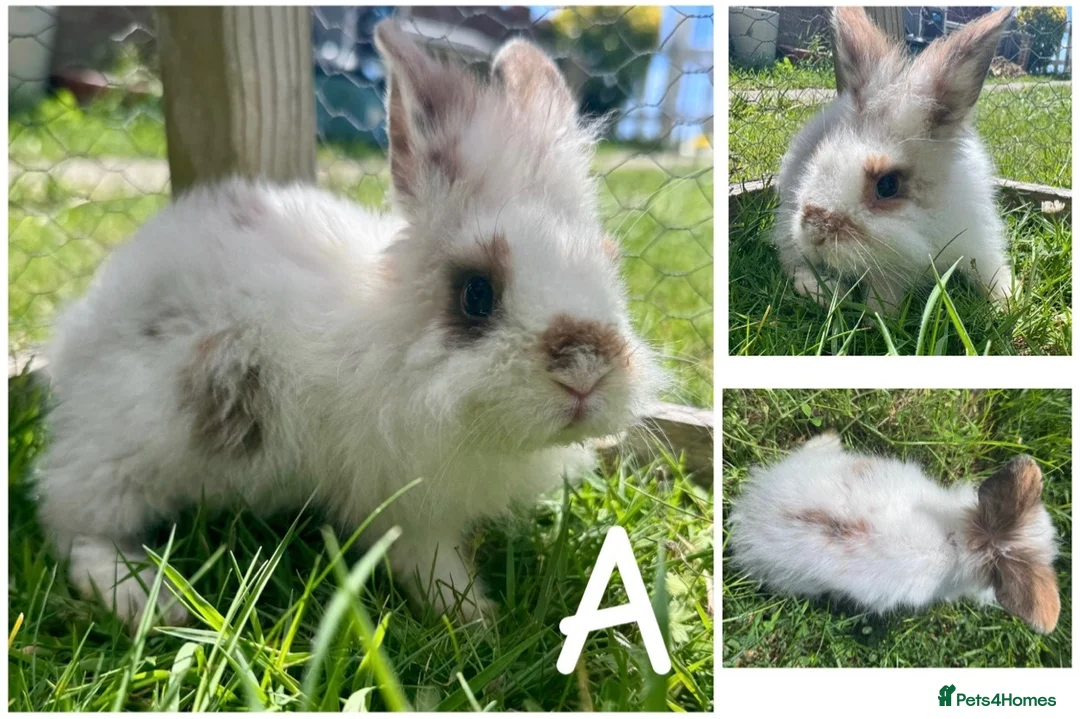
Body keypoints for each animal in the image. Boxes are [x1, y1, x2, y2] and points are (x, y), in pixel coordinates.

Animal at [35, 21, 665, 629]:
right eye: (476, 293)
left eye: (611, 265)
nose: (586, 370)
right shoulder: (406, 503)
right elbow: (430, 561)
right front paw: (474, 619)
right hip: (130, 450)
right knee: (72, 524)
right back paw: (144, 599)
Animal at [773, 7, 1015, 315]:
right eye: (820, 155)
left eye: (887, 185)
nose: (815, 233)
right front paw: (873, 316)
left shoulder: (979, 241)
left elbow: (991, 271)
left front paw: (1006, 303)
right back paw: (823, 292)